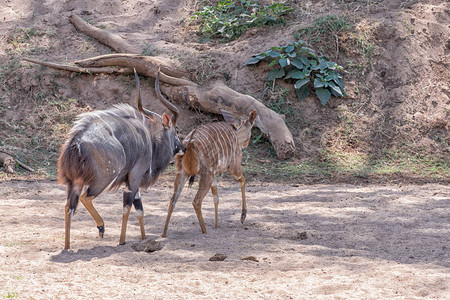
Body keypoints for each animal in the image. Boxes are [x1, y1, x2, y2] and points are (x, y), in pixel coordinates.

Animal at [58, 69, 185, 250]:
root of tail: (77, 141)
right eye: (176, 131)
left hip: (75, 183)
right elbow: (127, 207)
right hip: (104, 178)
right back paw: (101, 227)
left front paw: (144, 238)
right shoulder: (135, 176)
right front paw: (122, 241)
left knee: (69, 207)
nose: (183, 147)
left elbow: (139, 208)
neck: (149, 140)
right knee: (85, 198)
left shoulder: (132, 181)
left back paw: (68, 247)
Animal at [163, 108, 258, 237]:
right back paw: (205, 231)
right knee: (196, 201)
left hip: (182, 173)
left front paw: (216, 225)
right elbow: (242, 180)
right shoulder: (233, 167)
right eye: (251, 129)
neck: (236, 137)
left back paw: (163, 234)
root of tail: (190, 143)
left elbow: (216, 198)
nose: (245, 144)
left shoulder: (214, 175)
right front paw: (243, 216)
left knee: (173, 200)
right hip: (206, 175)